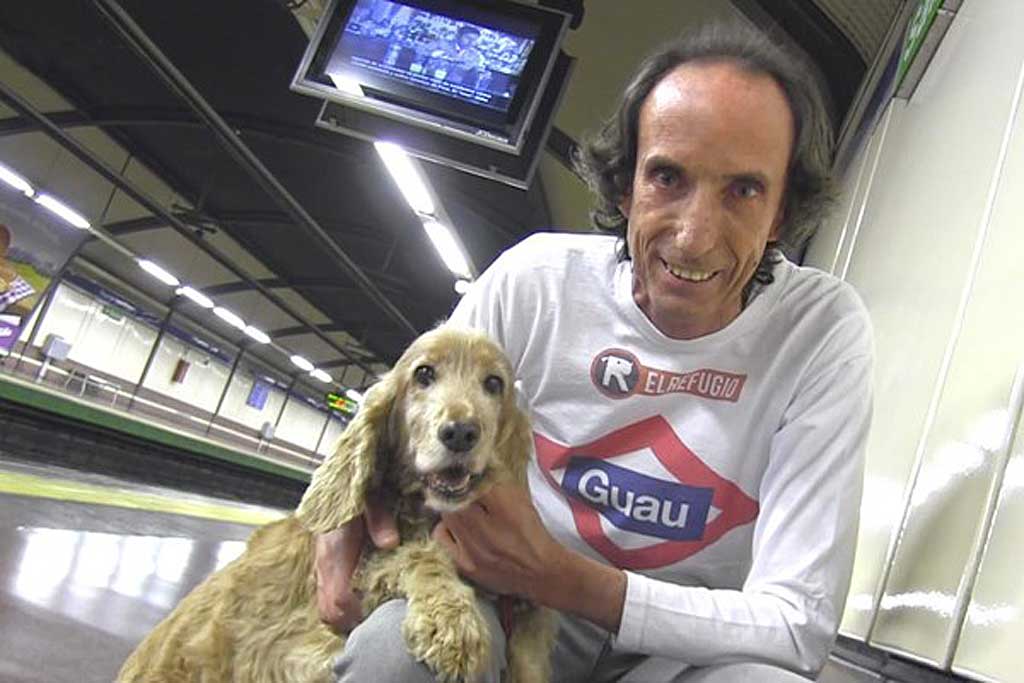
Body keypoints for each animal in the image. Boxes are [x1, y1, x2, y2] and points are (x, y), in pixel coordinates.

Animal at [116, 327, 557, 679]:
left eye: (494, 383)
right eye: (424, 374)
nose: (461, 432)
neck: (418, 509)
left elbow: (534, 633)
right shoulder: (344, 593)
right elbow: (417, 556)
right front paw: (451, 622)